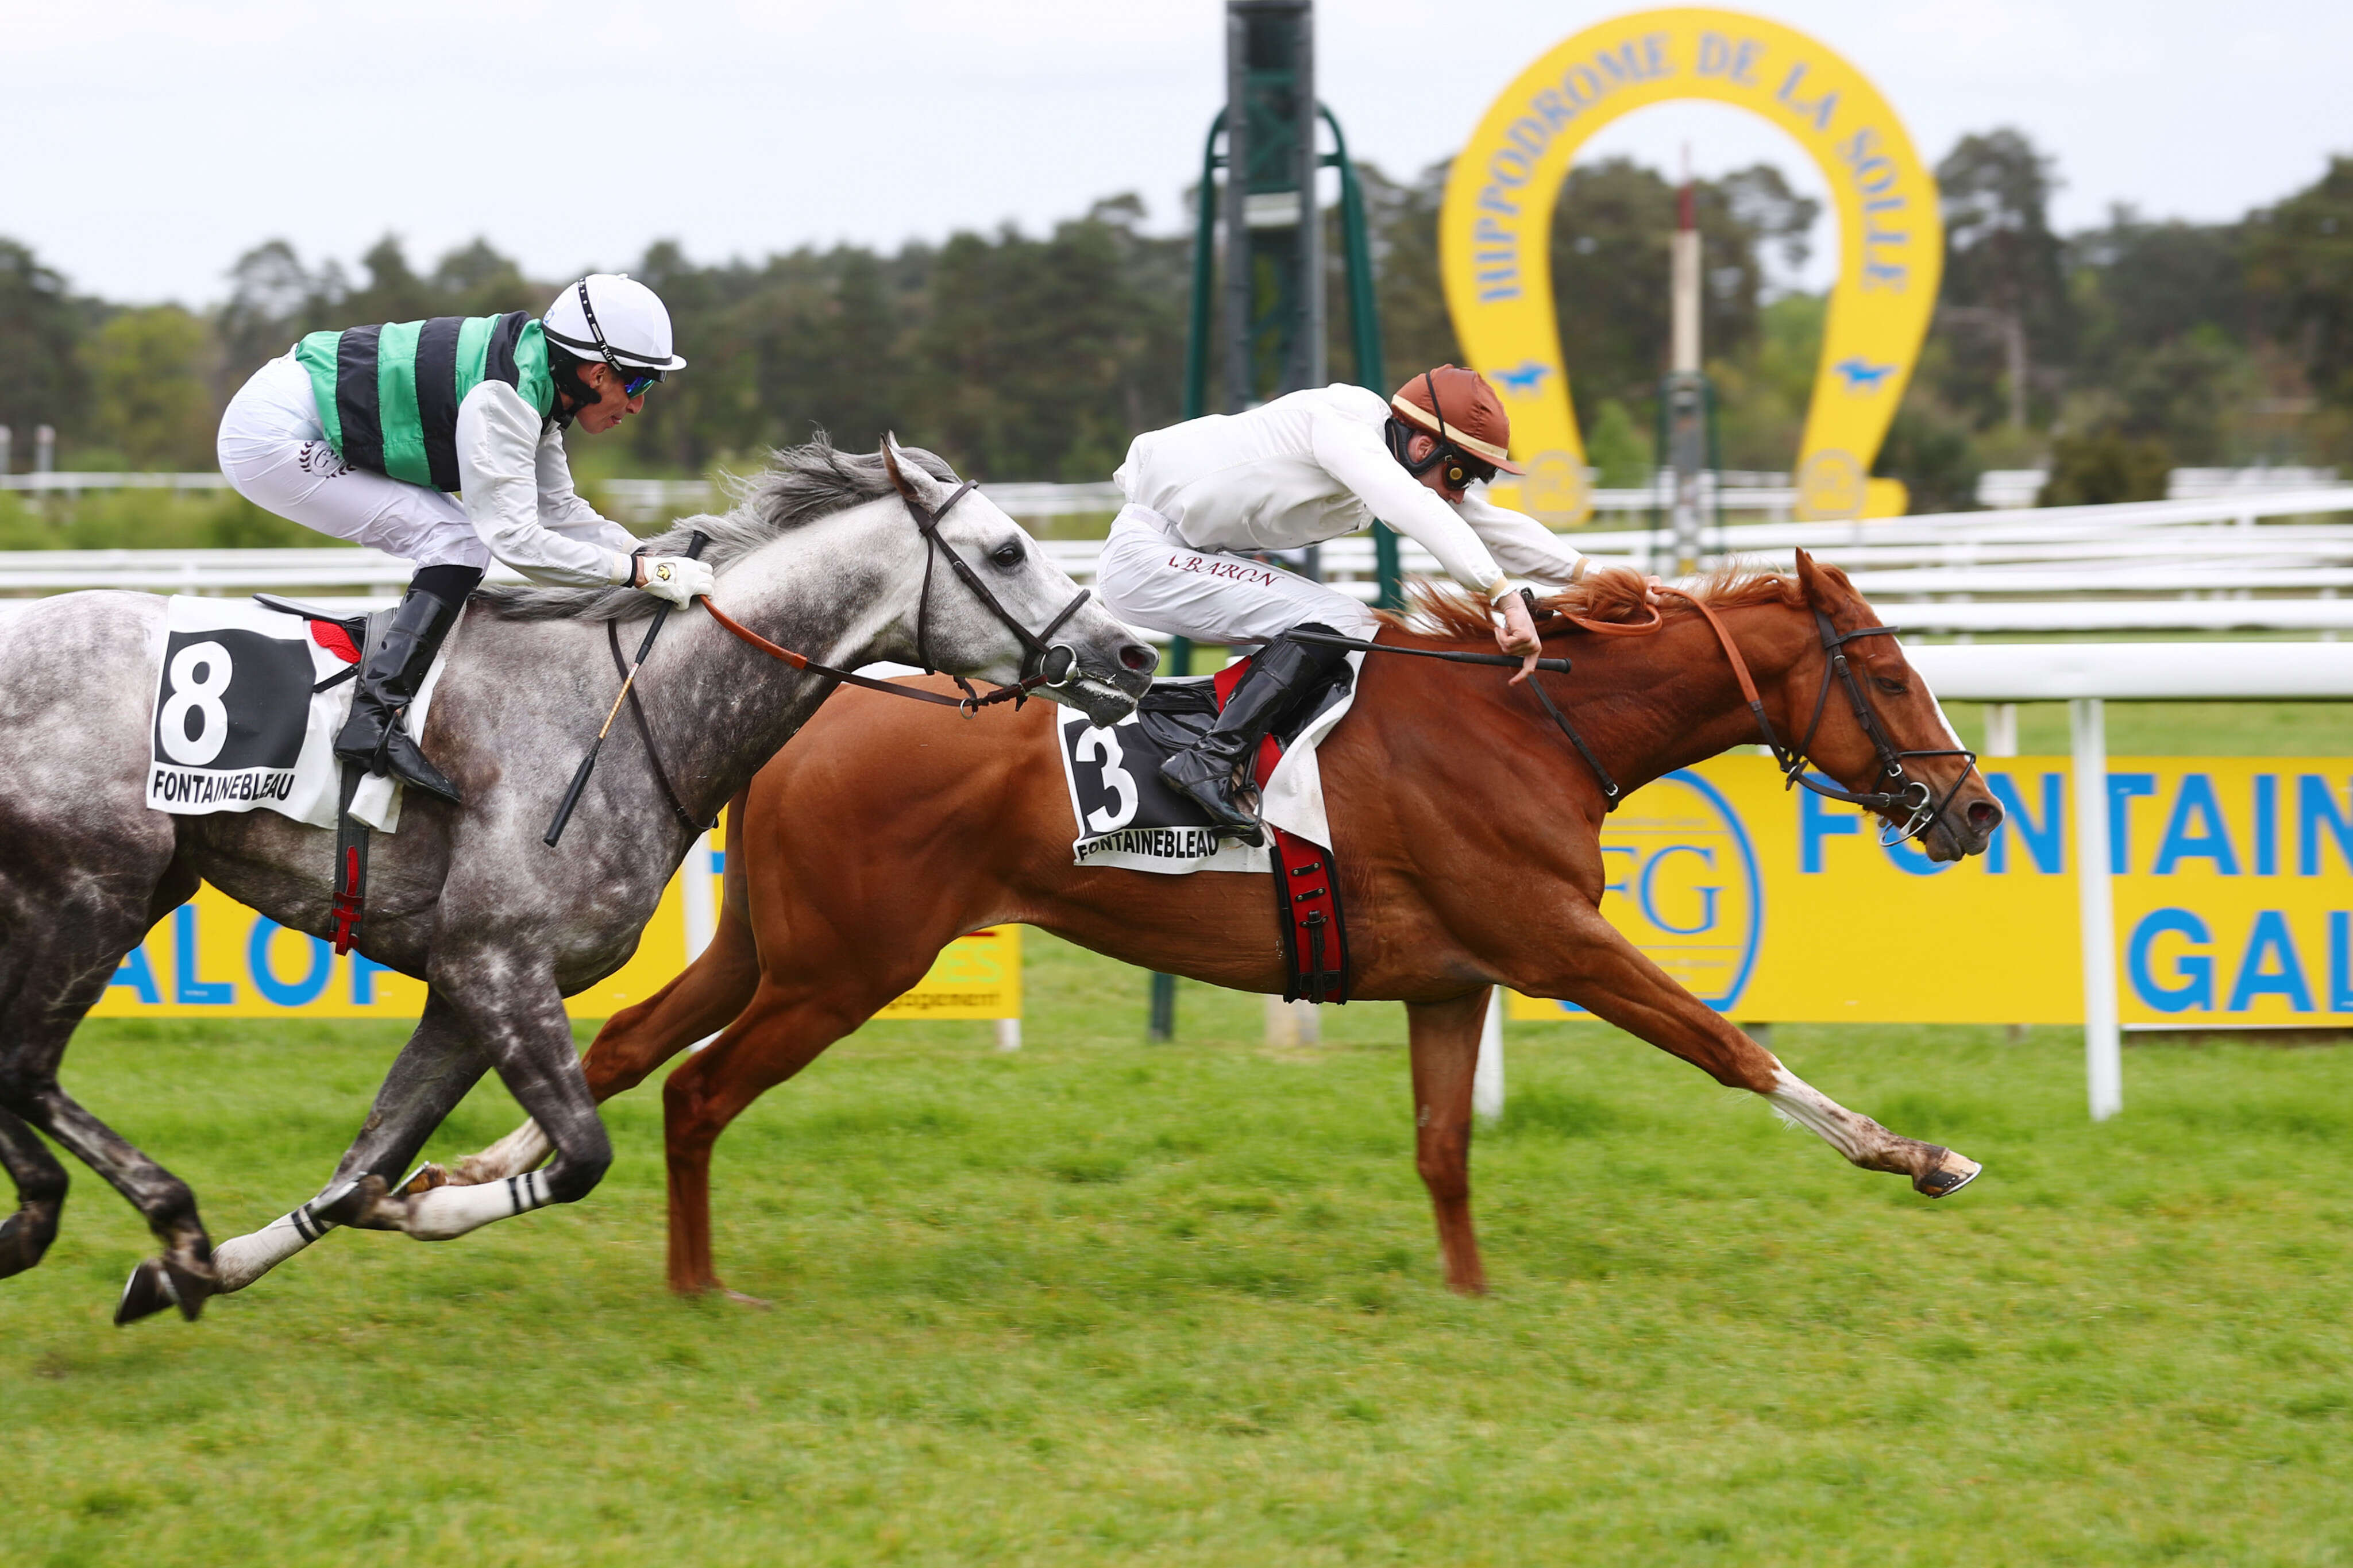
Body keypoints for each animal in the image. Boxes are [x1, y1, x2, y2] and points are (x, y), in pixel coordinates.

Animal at [0, 439, 1148, 1326]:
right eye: (1007, 549)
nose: (1131, 654)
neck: (638, 712)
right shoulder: (498, 966)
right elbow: (577, 1154)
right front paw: (422, 1208)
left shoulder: (463, 993)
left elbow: (360, 1167)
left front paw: (188, 1274)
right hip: (97, 893)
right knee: (22, 1066)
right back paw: (127, 1208)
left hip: (108, 896)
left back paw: (66, 1219)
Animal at [454, 554, 1986, 1297]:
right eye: (1889, 678)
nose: (1973, 813)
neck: (1528, 724)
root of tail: (807, 715)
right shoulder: (1553, 942)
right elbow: (1731, 1048)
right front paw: (1919, 1155)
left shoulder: (1454, 978)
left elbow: (1441, 1148)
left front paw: (1469, 1295)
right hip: (845, 970)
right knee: (696, 1092)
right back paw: (696, 1286)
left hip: (768, 948)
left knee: (621, 1049)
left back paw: (451, 1186)